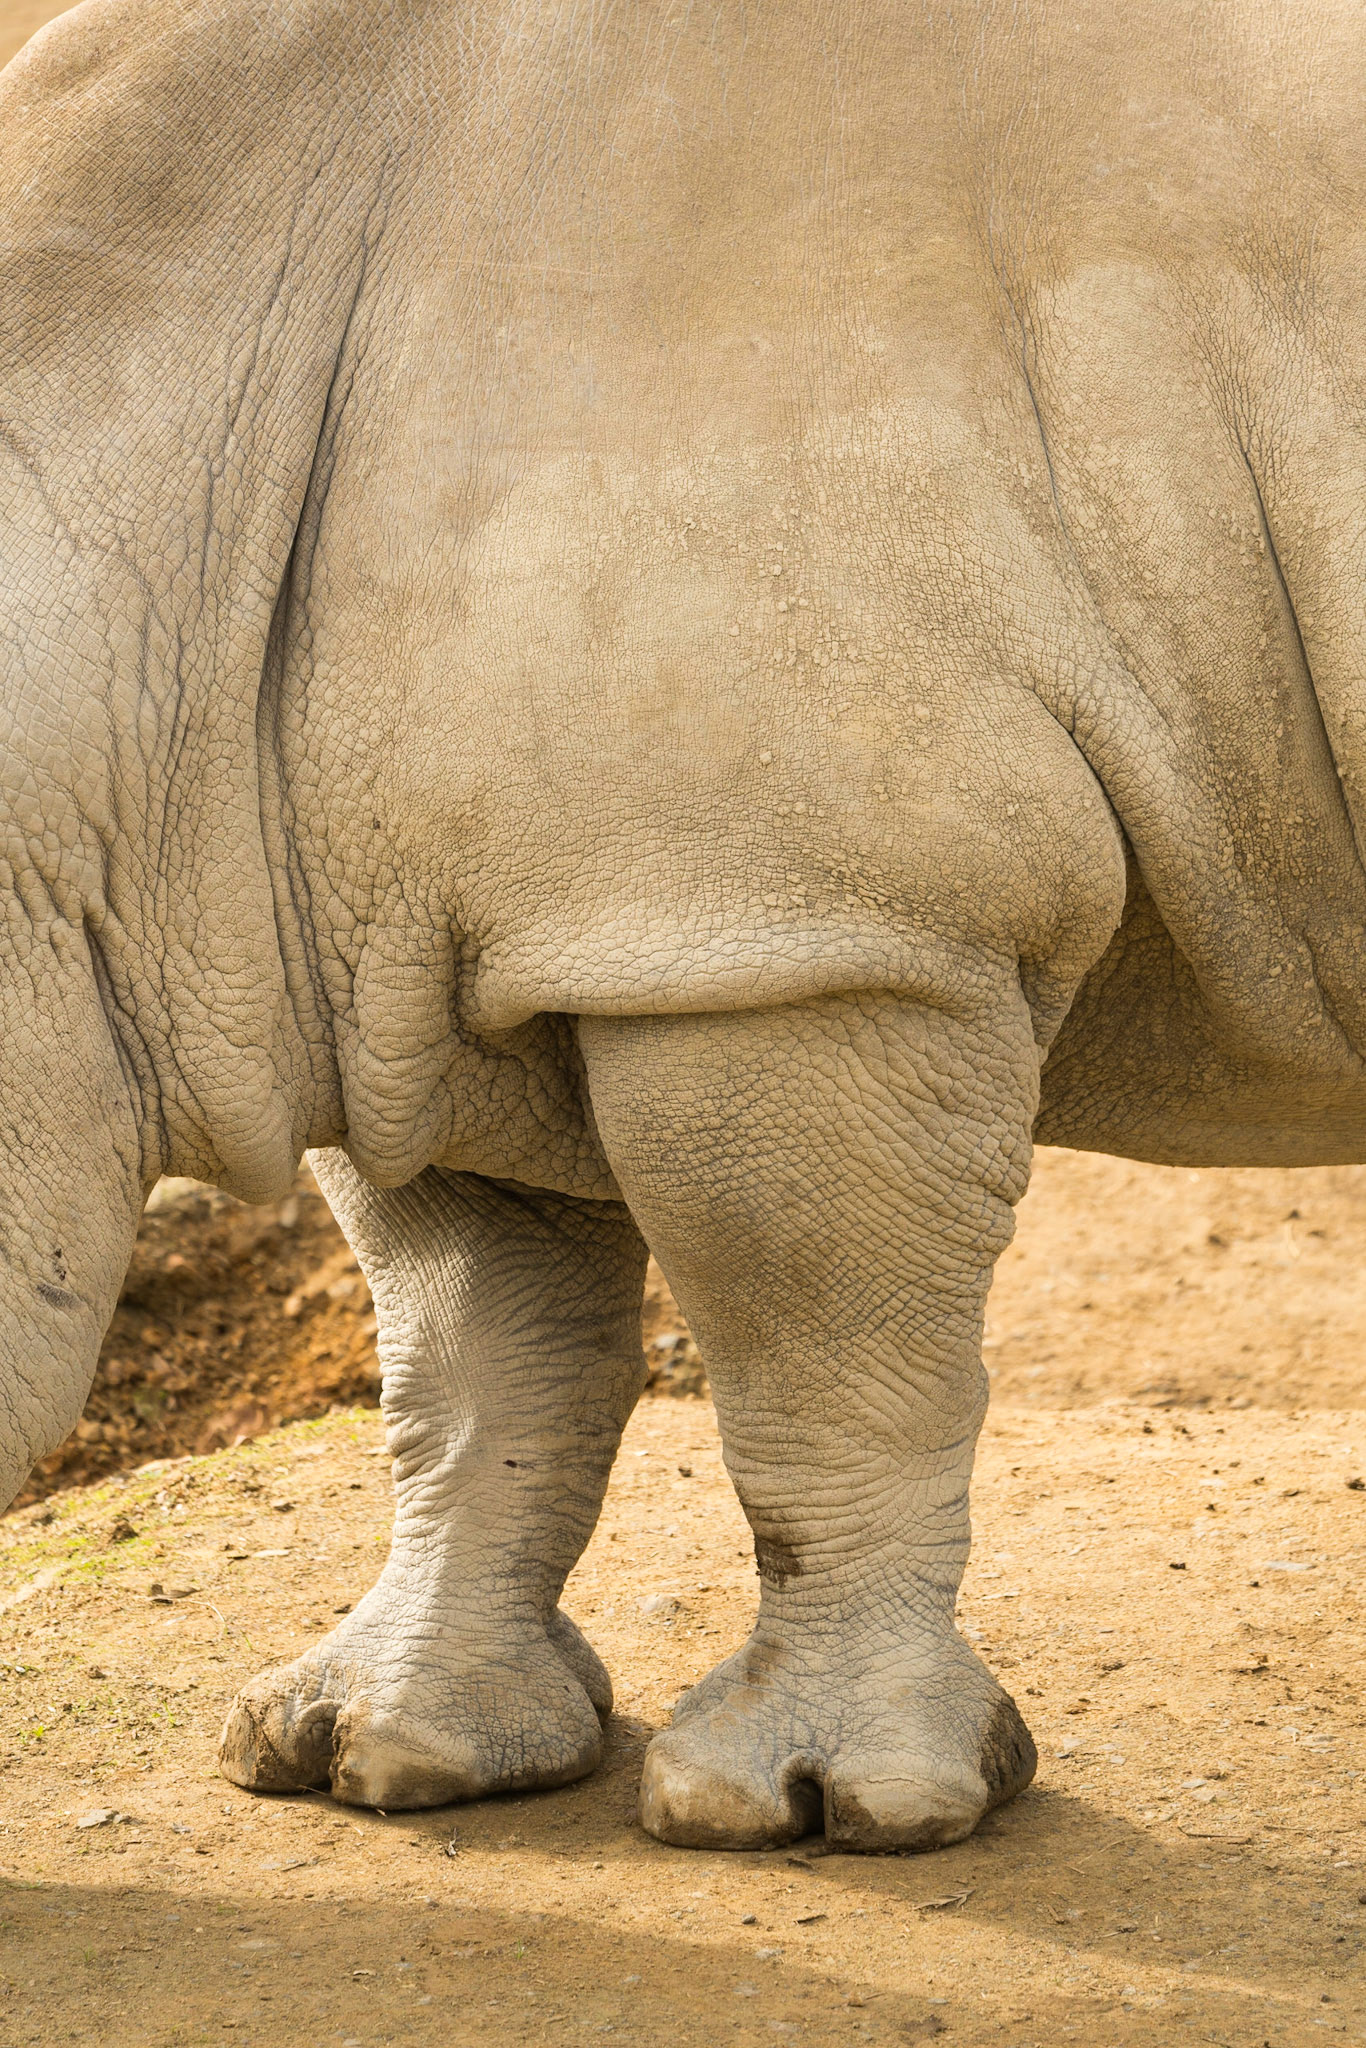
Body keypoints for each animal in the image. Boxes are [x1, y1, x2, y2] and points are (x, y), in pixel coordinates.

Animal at [2, 0, 1359, 1853]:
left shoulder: (790, 930)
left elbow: (822, 1360)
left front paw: (819, 1806)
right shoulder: (445, 937)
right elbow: (474, 1366)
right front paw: (380, 1759)